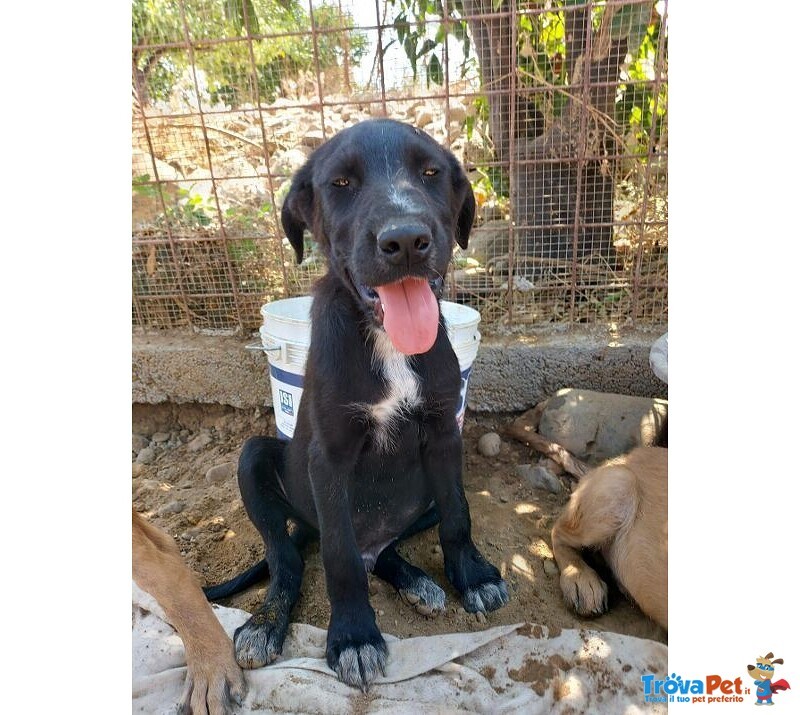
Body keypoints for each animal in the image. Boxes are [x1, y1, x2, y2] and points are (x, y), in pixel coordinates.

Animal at [206, 119, 506, 692]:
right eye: (341, 184)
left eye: (431, 173)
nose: (406, 240)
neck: (388, 342)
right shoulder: (329, 457)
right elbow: (339, 557)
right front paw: (353, 636)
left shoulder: (444, 434)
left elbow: (459, 514)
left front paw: (474, 578)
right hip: (256, 459)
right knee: (289, 557)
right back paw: (266, 623)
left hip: (419, 498)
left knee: (385, 548)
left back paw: (415, 582)